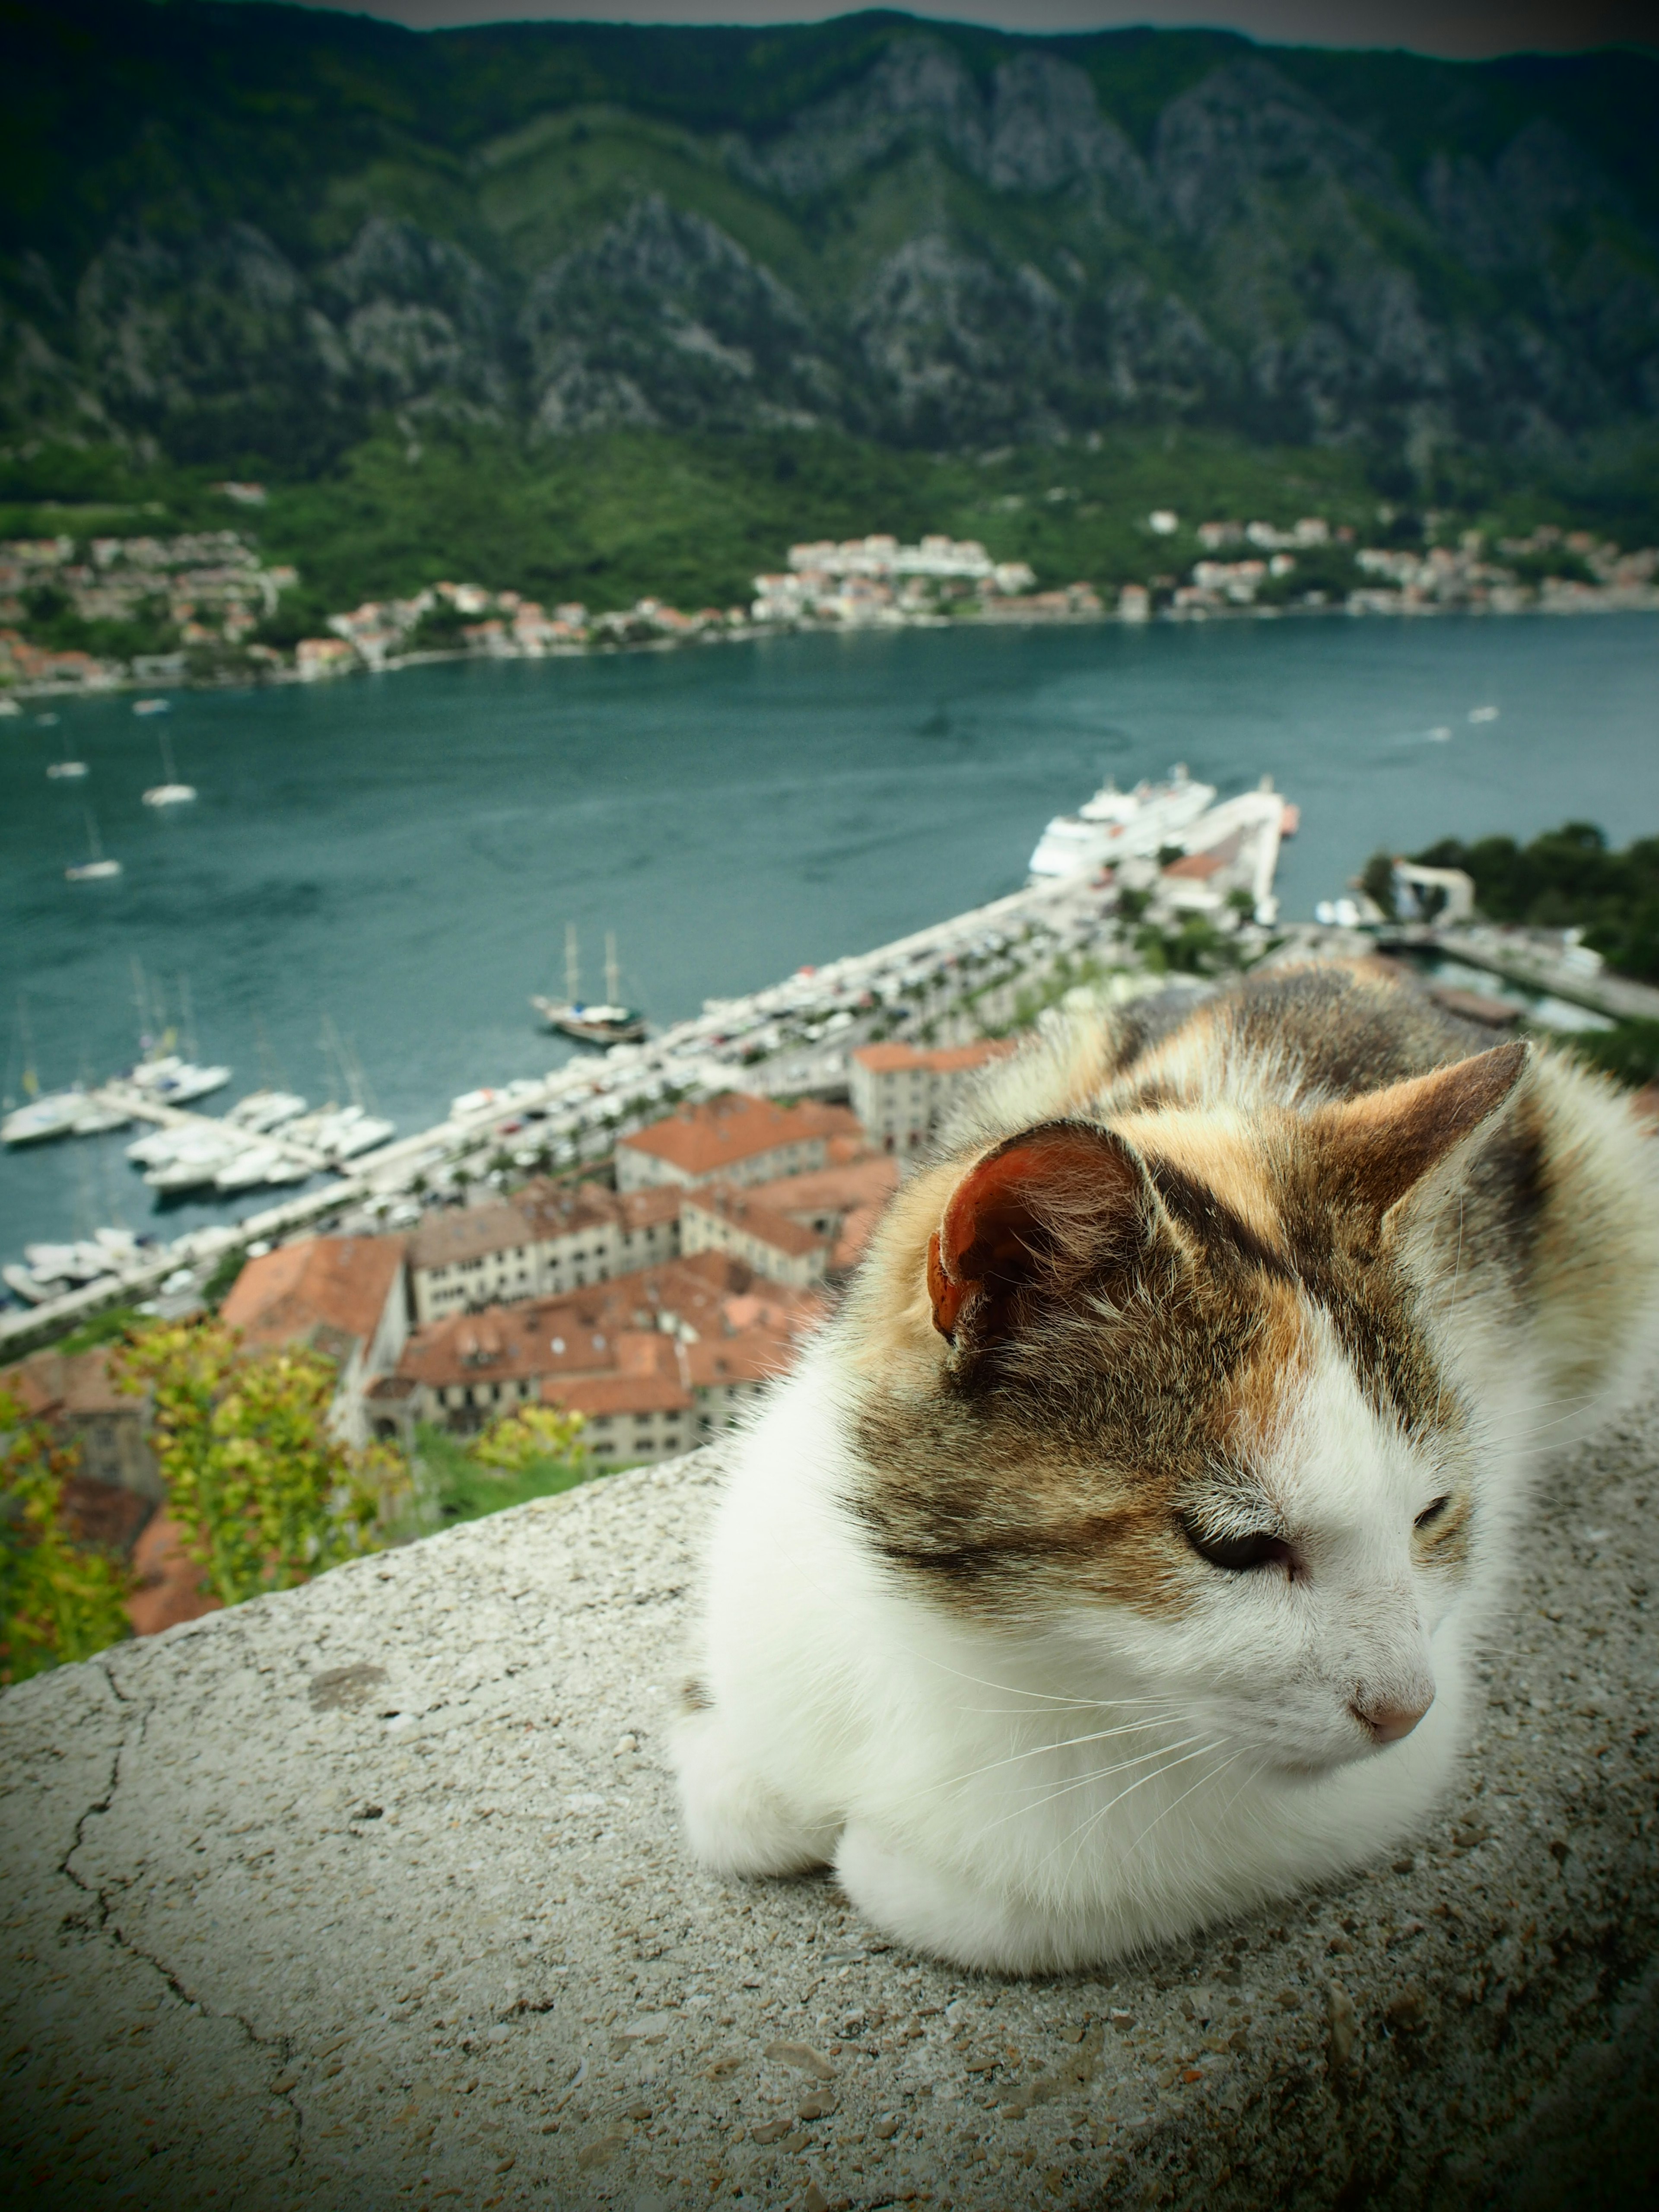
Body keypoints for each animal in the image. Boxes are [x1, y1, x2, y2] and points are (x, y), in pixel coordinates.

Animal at [668, 964, 1654, 1973]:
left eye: (1433, 1513)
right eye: (1234, 1545)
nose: (1404, 1709)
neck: (975, 1651)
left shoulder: (1364, 1788)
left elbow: (988, 1897)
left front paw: (885, 1859)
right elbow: (733, 1801)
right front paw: (750, 1771)